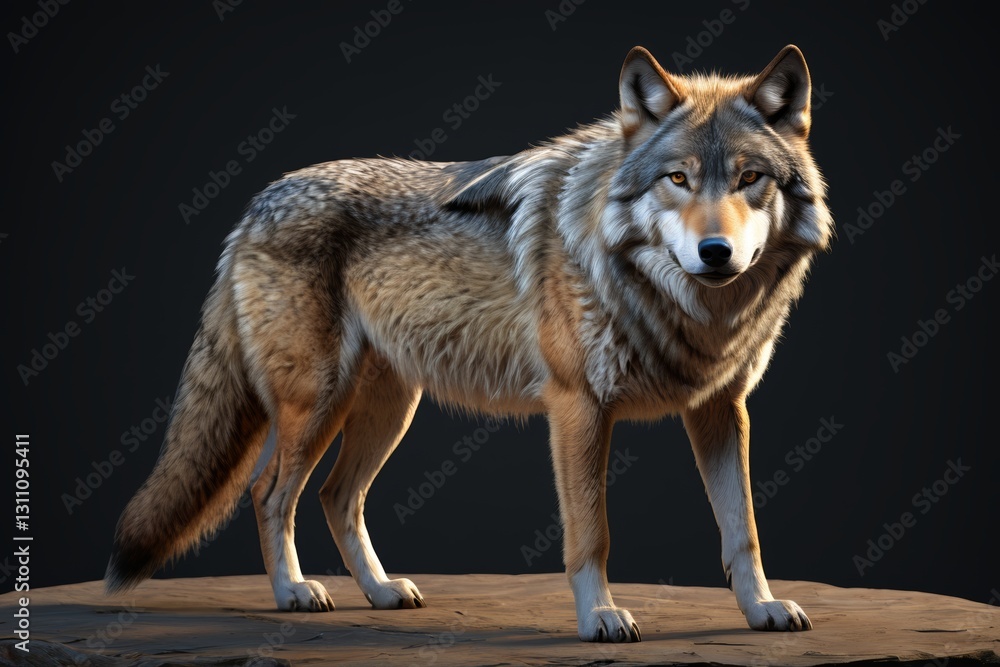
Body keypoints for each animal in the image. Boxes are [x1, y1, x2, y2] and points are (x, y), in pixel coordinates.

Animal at [106, 44, 832, 642]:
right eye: (677, 179)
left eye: (748, 179)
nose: (716, 253)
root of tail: (255, 204)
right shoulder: (578, 406)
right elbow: (591, 533)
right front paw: (599, 617)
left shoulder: (721, 409)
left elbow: (743, 530)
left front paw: (762, 609)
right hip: (317, 403)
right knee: (269, 494)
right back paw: (293, 592)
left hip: (388, 410)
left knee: (336, 496)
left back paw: (380, 592)